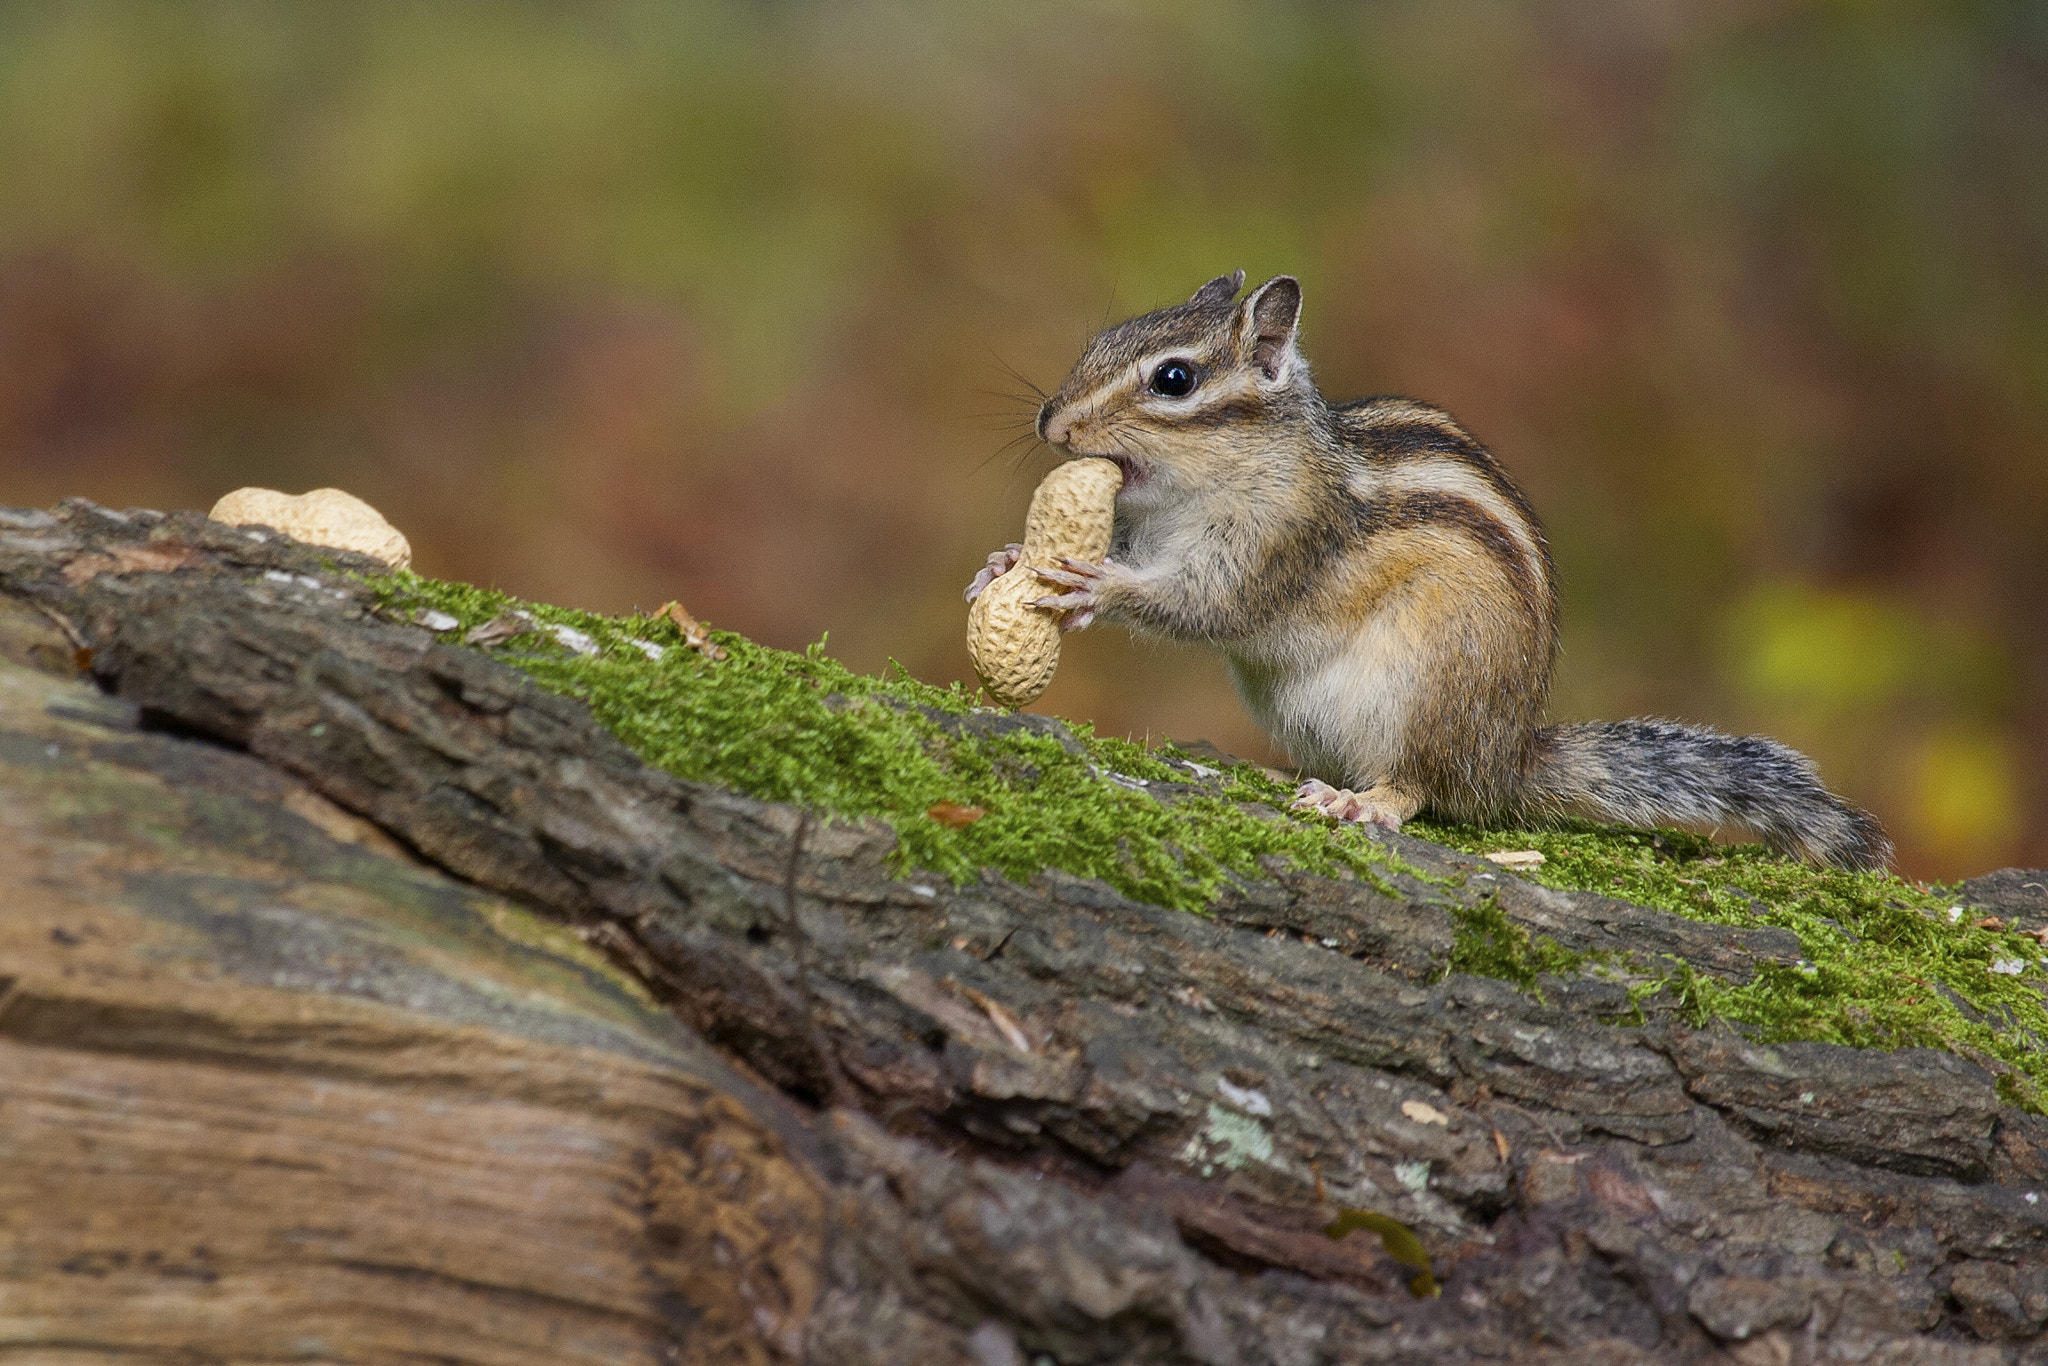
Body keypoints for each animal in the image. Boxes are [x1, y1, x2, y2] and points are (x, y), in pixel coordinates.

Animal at [966, 271, 1892, 870]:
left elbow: (1206, 605)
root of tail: (1504, 759)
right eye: (1099, 341)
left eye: (1173, 379)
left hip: (1425, 685)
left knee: (1423, 790)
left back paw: (1363, 801)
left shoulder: (1280, 541)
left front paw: (1098, 586)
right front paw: (1006, 563)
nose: (1050, 422)